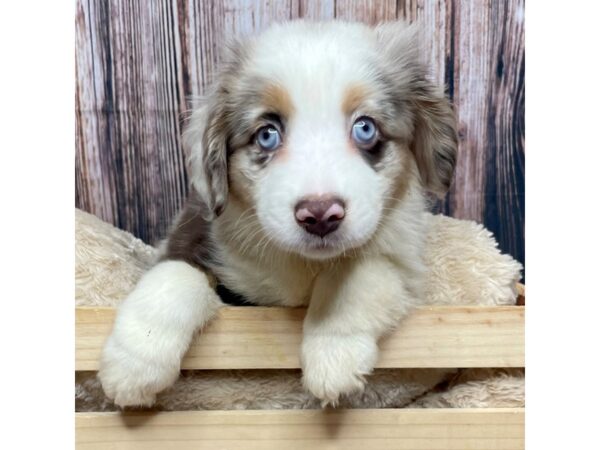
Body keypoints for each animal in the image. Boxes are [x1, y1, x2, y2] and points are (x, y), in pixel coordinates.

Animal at [98, 20, 458, 408]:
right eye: (267, 134)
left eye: (365, 128)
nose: (320, 215)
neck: (301, 263)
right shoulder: (193, 237)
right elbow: (176, 273)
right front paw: (134, 362)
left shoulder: (406, 265)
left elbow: (361, 272)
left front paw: (334, 357)